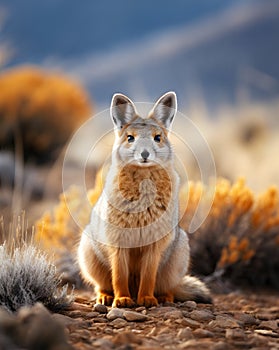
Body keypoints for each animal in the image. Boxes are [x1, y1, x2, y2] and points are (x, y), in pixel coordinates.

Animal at [77, 91, 211, 308]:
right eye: (130, 138)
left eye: (158, 138)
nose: (145, 154)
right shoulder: (119, 244)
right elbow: (119, 275)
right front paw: (122, 300)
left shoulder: (153, 247)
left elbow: (148, 275)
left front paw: (147, 300)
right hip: (89, 256)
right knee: (102, 285)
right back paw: (106, 298)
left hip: (176, 260)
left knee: (167, 287)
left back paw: (163, 298)